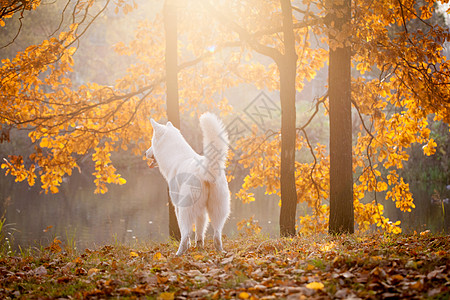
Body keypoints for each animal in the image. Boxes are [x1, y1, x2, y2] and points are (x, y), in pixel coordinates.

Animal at [148, 112, 230, 255]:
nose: (146, 152)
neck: (177, 156)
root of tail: (204, 169)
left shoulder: (178, 208)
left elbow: (185, 233)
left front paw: (190, 247)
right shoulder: (202, 212)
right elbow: (200, 233)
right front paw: (200, 247)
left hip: (186, 211)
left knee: (185, 234)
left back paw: (179, 253)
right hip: (218, 210)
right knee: (217, 235)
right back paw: (220, 251)